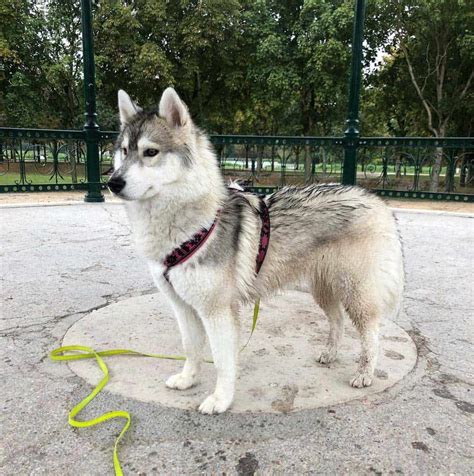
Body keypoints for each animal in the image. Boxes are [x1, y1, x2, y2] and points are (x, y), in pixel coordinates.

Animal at [108, 88, 404, 412]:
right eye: (124, 150)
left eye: (150, 152)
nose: (113, 182)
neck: (191, 227)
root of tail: (375, 200)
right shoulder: (183, 307)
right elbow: (191, 348)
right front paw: (188, 379)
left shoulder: (218, 311)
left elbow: (223, 360)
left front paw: (221, 399)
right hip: (323, 288)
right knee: (336, 321)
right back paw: (330, 353)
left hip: (355, 293)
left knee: (371, 333)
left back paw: (365, 372)